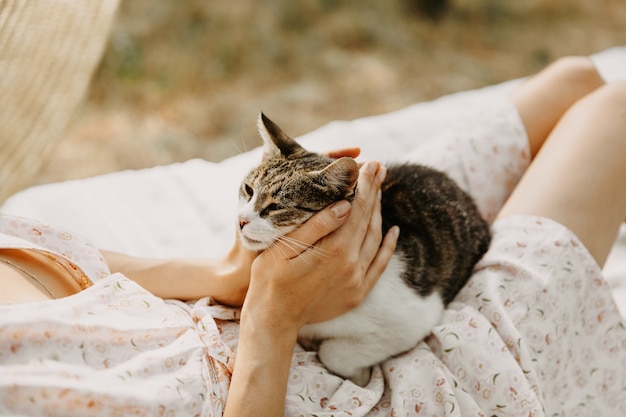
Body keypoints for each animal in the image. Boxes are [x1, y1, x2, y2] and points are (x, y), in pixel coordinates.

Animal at [236, 112, 490, 386]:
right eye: (248, 190)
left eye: (275, 207)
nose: (241, 221)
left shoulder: (413, 317)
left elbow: (334, 353)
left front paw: (360, 376)